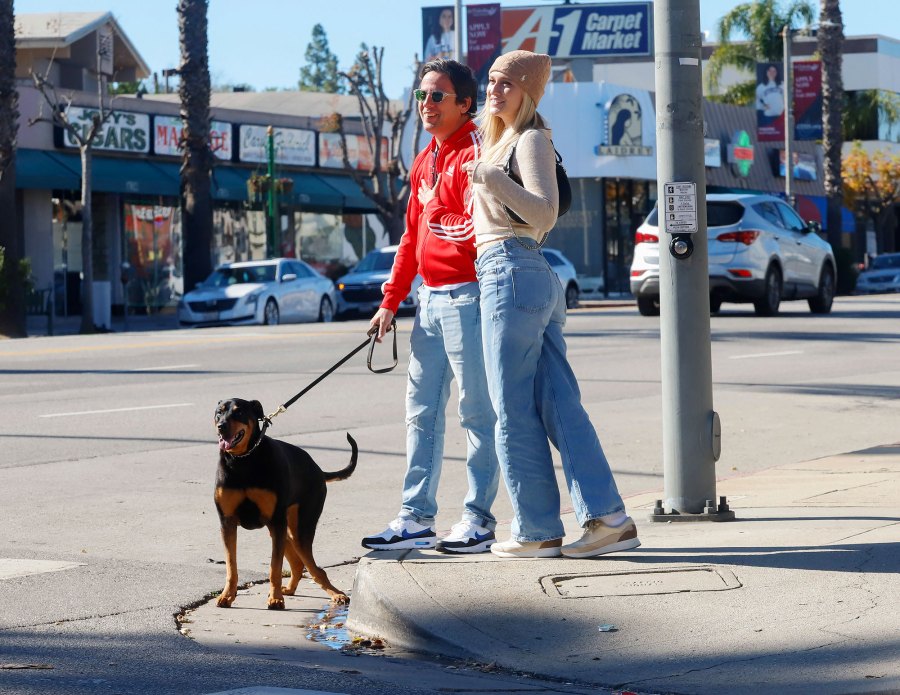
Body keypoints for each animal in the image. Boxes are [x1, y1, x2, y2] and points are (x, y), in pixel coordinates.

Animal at [214, 396, 358, 608]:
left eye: (239, 411)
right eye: (220, 412)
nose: (221, 426)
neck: (243, 461)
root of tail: (319, 471)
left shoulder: (276, 520)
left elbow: (275, 566)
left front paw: (275, 599)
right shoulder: (227, 522)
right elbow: (231, 566)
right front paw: (227, 595)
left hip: (300, 526)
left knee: (314, 568)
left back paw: (336, 594)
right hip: (286, 528)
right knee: (297, 563)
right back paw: (289, 589)